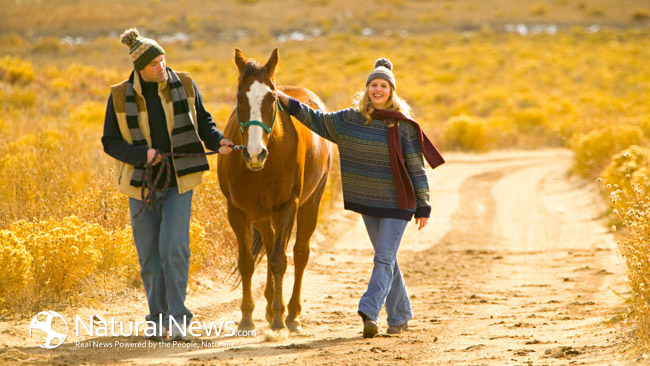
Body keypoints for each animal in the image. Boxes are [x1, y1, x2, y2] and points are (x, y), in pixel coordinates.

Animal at [216, 48, 330, 332]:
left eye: (272, 97)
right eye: (239, 96)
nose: (255, 153)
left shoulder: (288, 207)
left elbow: (280, 260)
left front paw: (279, 316)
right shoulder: (237, 211)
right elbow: (246, 262)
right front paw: (247, 318)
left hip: (309, 205)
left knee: (300, 253)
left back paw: (292, 314)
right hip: (261, 216)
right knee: (268, 247)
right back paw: (268, 308)